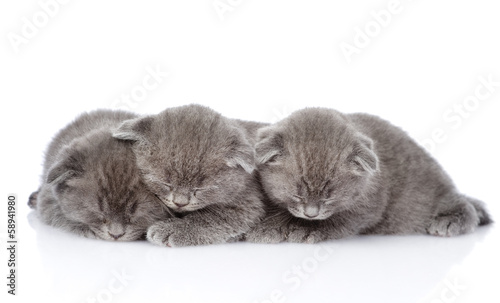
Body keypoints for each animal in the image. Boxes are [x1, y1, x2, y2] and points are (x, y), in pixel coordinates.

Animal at [113, 104, 266, 247]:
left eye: (200, 189)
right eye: (166, 184)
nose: (180, 203)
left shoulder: (248, 202)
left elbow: (212, 217)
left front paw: (172, 229)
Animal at [246, 108, 492, 243]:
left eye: (329, 195)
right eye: (297, 194)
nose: (311, 214)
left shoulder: (369, 206)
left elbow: (339, 220)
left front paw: (304, 230)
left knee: (462, 203)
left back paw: (450, 221)